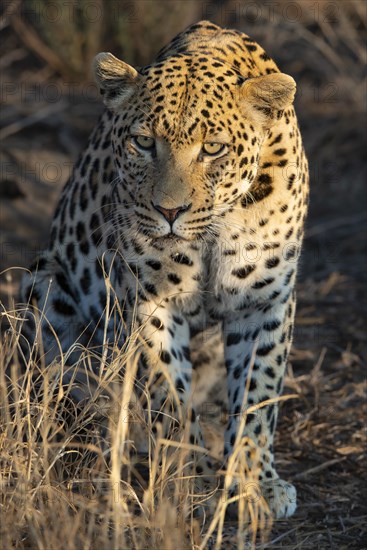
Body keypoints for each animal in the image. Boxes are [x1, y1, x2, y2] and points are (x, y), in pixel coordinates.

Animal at [18, 21, 310, 520]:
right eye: (143, 142)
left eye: (213, 149)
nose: (169, 211)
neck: (214, 228)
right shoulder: (149, 302)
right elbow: (169, 398)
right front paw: (190, 481)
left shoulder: (264, 301)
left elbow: (258, 394)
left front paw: (255, 483)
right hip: (44, 285)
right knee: (77, 398)